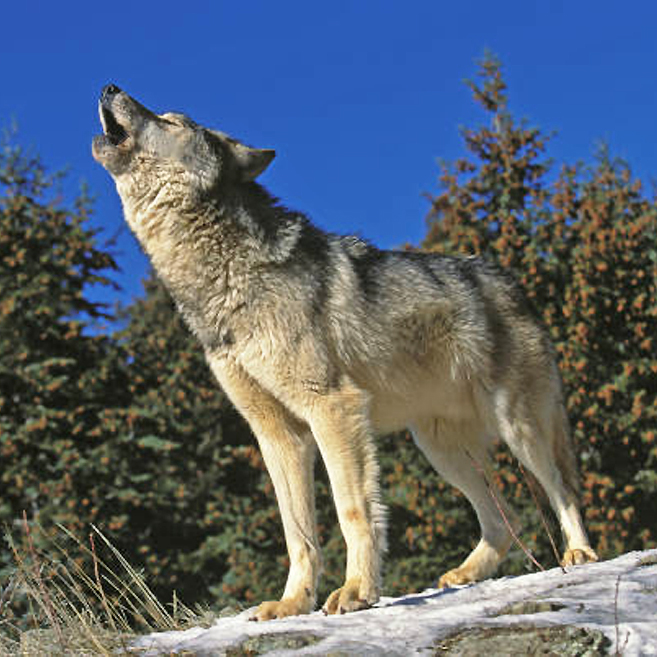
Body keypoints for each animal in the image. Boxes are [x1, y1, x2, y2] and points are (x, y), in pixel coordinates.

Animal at [92, 84, 597, 620]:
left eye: (173, 121)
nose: (109, 86)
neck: (221, 280)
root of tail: (511, 281)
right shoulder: (277, 434)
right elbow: (298, 533)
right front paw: (292, 603)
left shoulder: (333, 408)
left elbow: (352, 510)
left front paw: (357, 591)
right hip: (440, 449)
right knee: (507, 519)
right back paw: (466, 574)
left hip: (518, 428)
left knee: (562, 489)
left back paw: (579, 553)